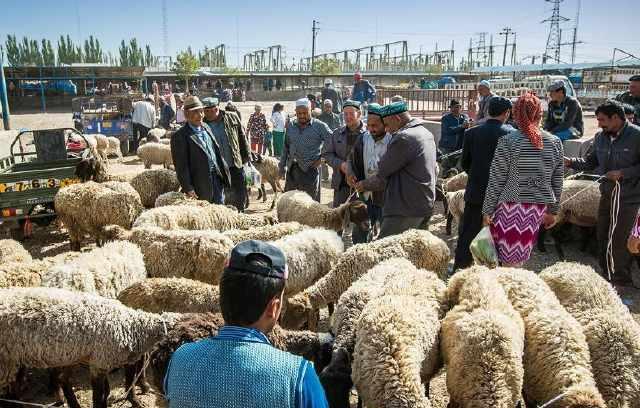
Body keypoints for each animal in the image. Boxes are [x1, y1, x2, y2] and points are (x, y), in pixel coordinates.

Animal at [0, 286, 180, 408]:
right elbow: (99, 396)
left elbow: (108, 391)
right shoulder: (100, 362)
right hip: (7, 360)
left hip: (66, 355)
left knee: (61, 380)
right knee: (10, 395)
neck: (133, 327)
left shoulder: (101, 362)